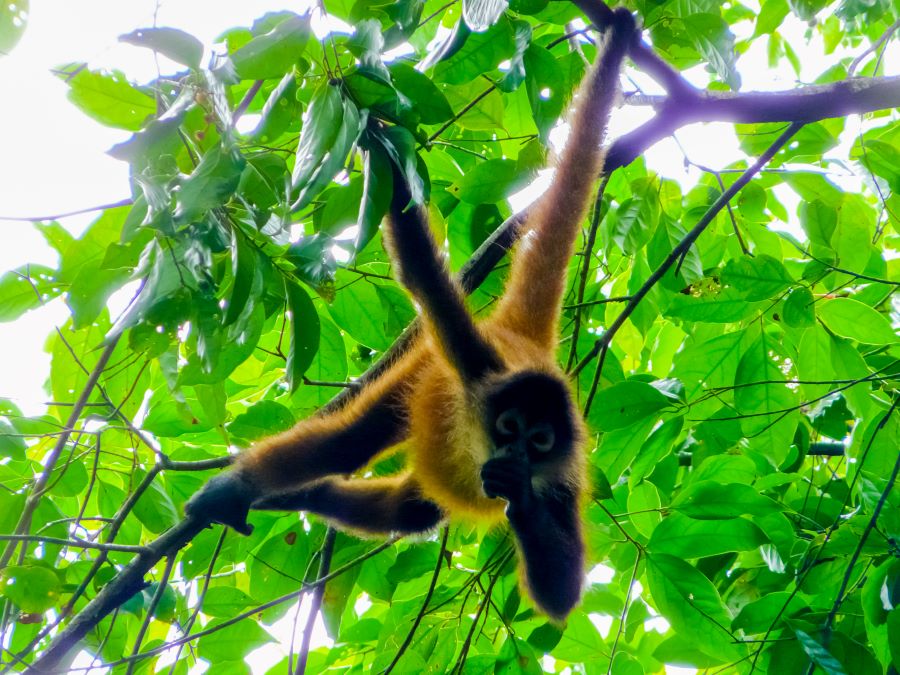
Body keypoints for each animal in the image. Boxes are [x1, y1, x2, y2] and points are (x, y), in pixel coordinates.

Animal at [185, 9, 632, 624]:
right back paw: (246, 487)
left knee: (412, 509)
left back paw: (310, 496)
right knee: (350, 443)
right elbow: (422, 274)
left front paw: (518, 492)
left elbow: (561, 594)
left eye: (539, 441)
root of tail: (525, 341)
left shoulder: (565, 473)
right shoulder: (469, 359)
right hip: (425, 371)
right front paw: (379, 144)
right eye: (510, 428)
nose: (514, 453)